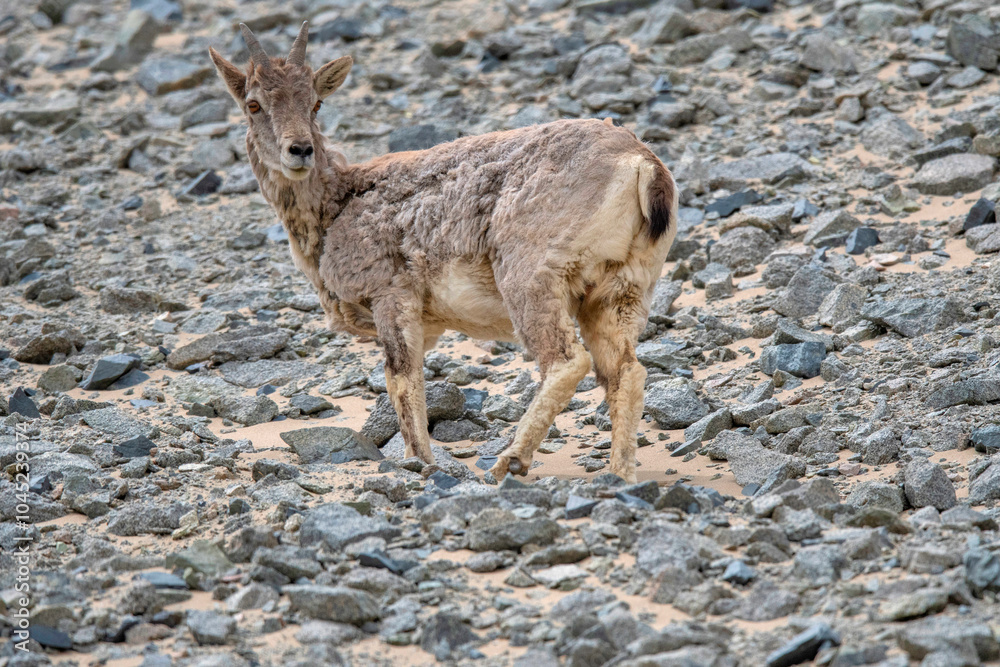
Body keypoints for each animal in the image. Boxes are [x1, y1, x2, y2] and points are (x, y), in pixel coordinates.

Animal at [208, 22, 678, 483]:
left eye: (316, 103)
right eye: (253, 104)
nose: (300, 150)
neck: (336, 206)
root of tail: (641, 166)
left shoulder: (390, 294)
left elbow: (402, 381)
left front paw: (420, 464)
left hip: (532, 276)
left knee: (566, 361)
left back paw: (510, 461)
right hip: (620, 288)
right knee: (624, 371)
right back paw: (618, 474)